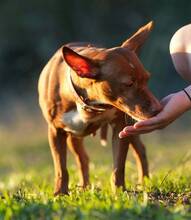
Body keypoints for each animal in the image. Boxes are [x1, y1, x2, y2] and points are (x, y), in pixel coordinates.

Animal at [38, 21, 161, 195]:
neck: (88, 104)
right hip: (73, 136)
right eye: (129, 84)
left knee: (140, 150)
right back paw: (84, 186)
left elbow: (118, 166)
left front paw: (119, 192)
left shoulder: (120, 127)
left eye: (147, 79)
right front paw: (60, 193)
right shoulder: (56, 131)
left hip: (130, 127)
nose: (158, 108)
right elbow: (61, 168)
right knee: (82, 158)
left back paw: (144, 182)